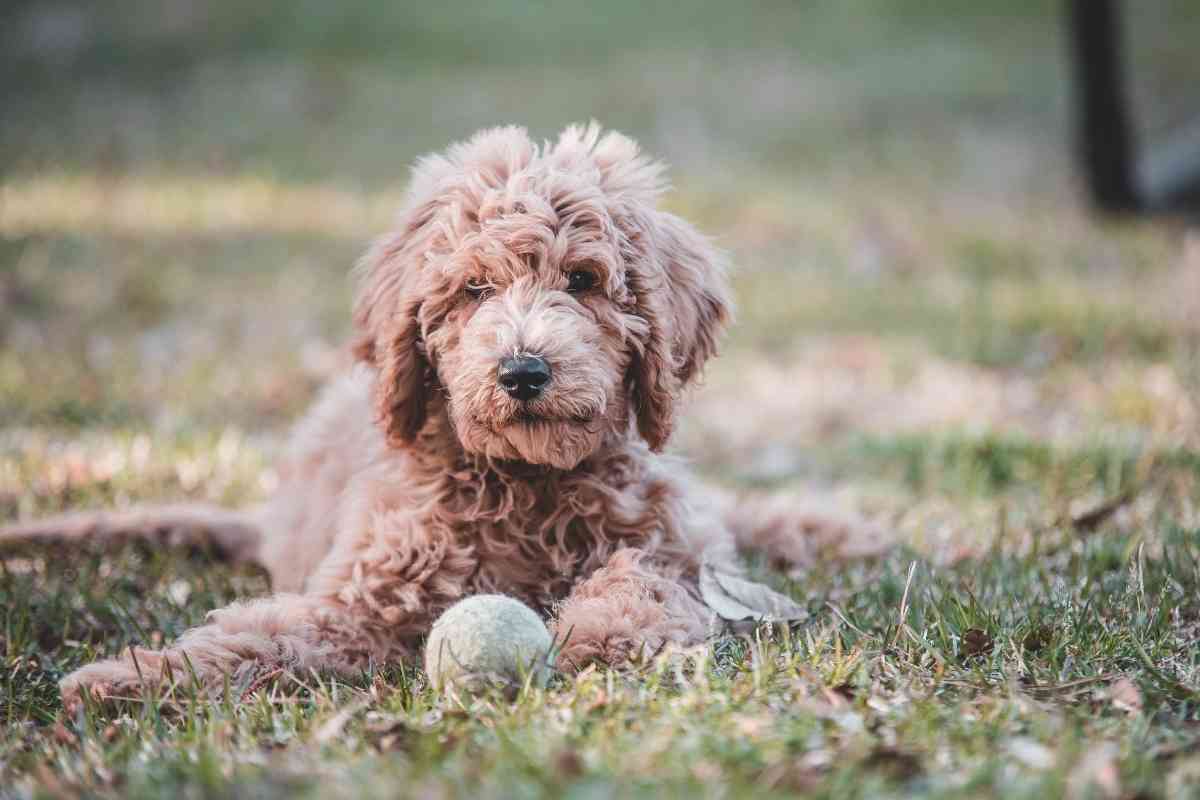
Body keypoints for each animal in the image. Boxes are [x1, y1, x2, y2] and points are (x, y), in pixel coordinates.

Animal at [0, 122, 883, 705]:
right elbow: (263, 632)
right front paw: (130, 676)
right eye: (474, 291)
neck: (527, 483)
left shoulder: (666, 539)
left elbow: (648, 574)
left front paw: (601, 631)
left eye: (584, 281)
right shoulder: (363, 596)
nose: (523, 371)